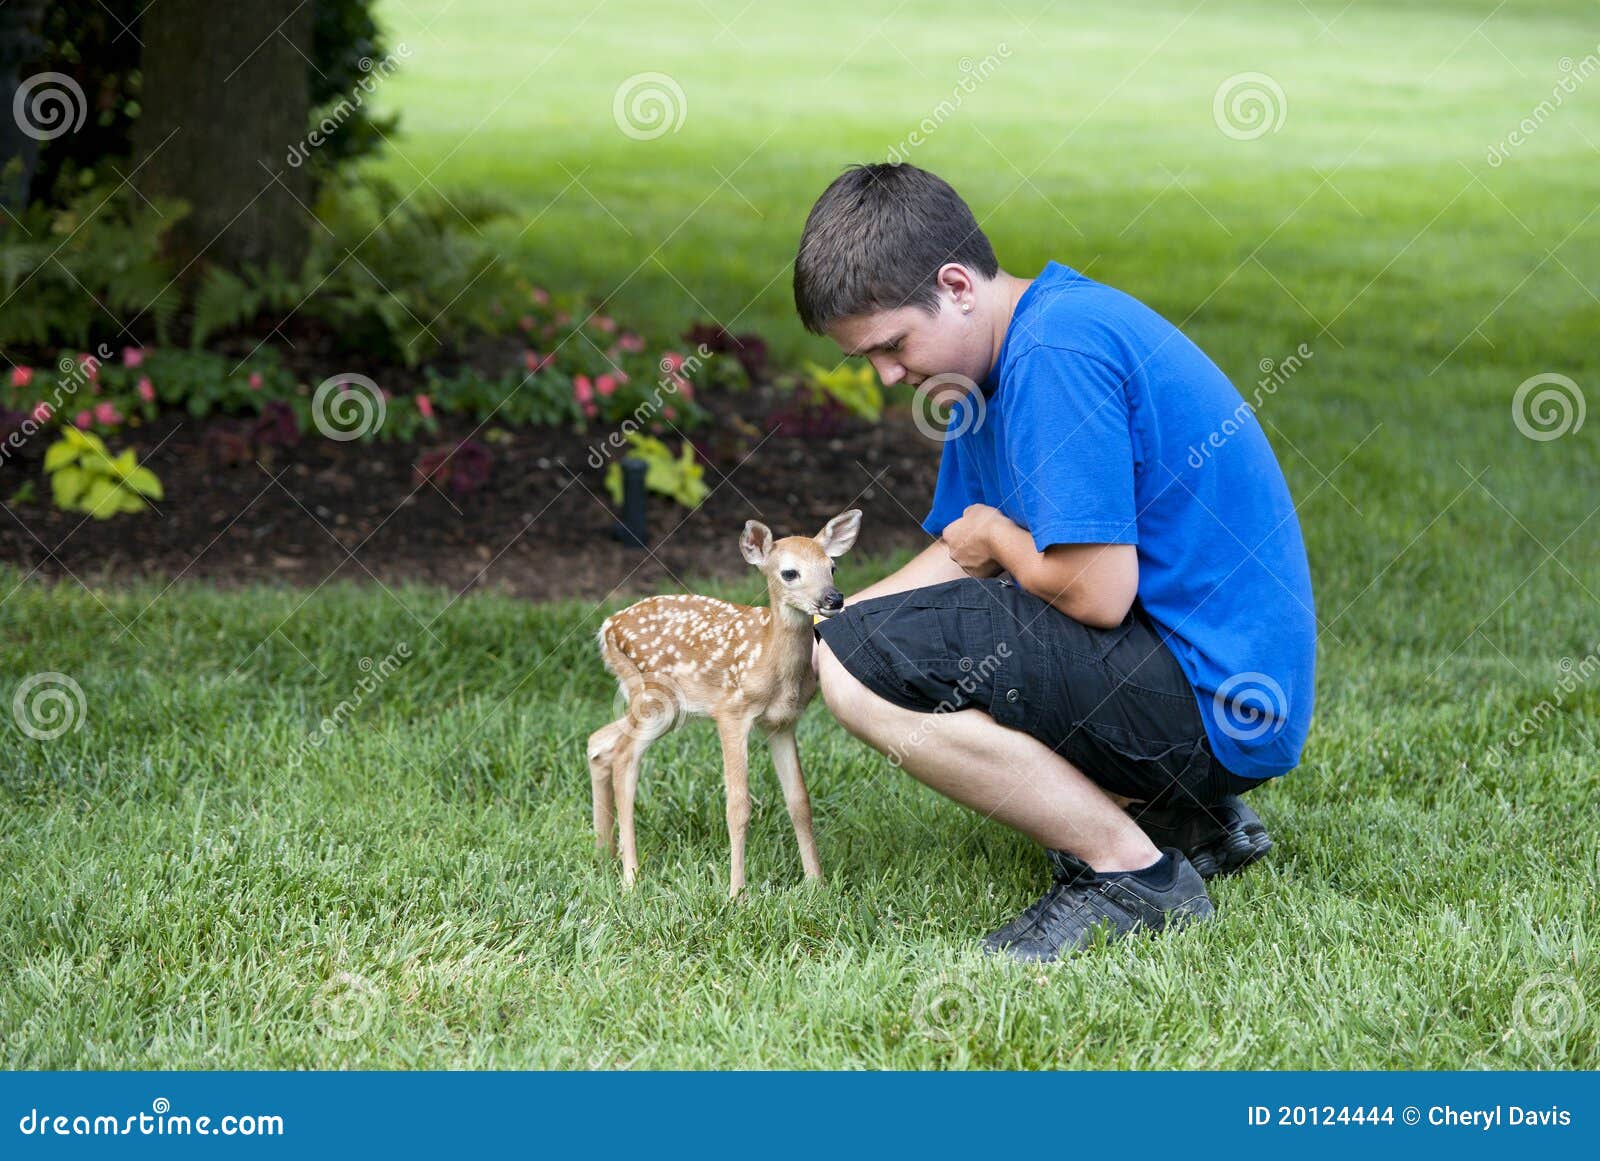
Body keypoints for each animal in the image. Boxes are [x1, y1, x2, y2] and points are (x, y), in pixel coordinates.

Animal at [587, 509, 862, 897]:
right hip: (655, 699)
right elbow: (738, 806)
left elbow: (799, 802)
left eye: (832, 567)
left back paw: (604, 852)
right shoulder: (732, 712)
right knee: (624, 758)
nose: (833, 598)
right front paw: (736, 893)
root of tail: (607, 627)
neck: (770, 662)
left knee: (600, 742)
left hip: (665, 709)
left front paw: (816, 885)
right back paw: (630, 876)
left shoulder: (782, 723)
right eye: (789, 572)